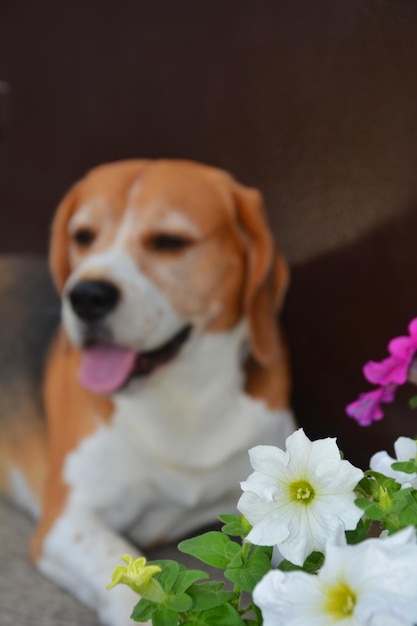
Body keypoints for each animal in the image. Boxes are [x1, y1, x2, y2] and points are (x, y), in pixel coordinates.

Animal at [0, 161, 294, 624]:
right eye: (83, 236)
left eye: (170, 242)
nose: (86, 296)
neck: (183, 398)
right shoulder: (67, 521)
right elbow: (122, 573)